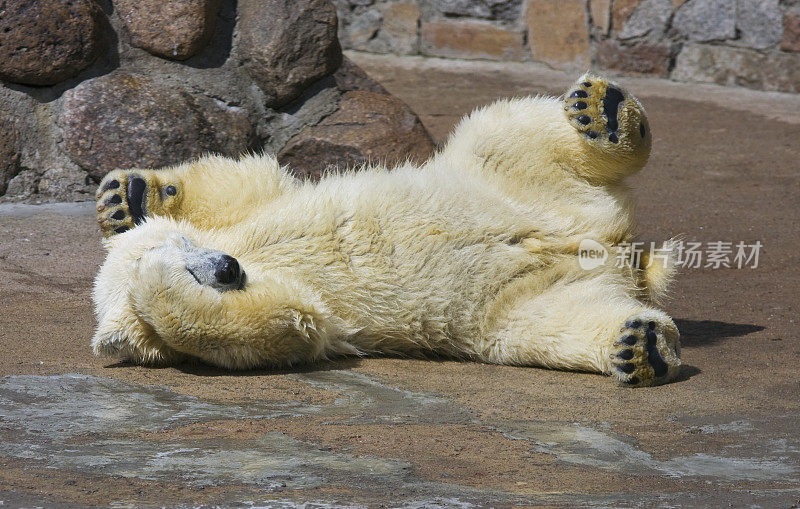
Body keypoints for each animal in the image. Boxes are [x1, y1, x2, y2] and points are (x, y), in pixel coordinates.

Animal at [94, 74, 680, 384]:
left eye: (184, 245)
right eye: (191, 269)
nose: (225, 269)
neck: (249, 253)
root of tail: (611, 245)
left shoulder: (255, 213)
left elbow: (252, 183)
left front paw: (129, 197)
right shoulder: (285, 312)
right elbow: (281, 322)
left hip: (504, 180)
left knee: (505, 131)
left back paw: (607, 113)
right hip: (515, 304)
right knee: (556, 325)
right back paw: (641, 344)